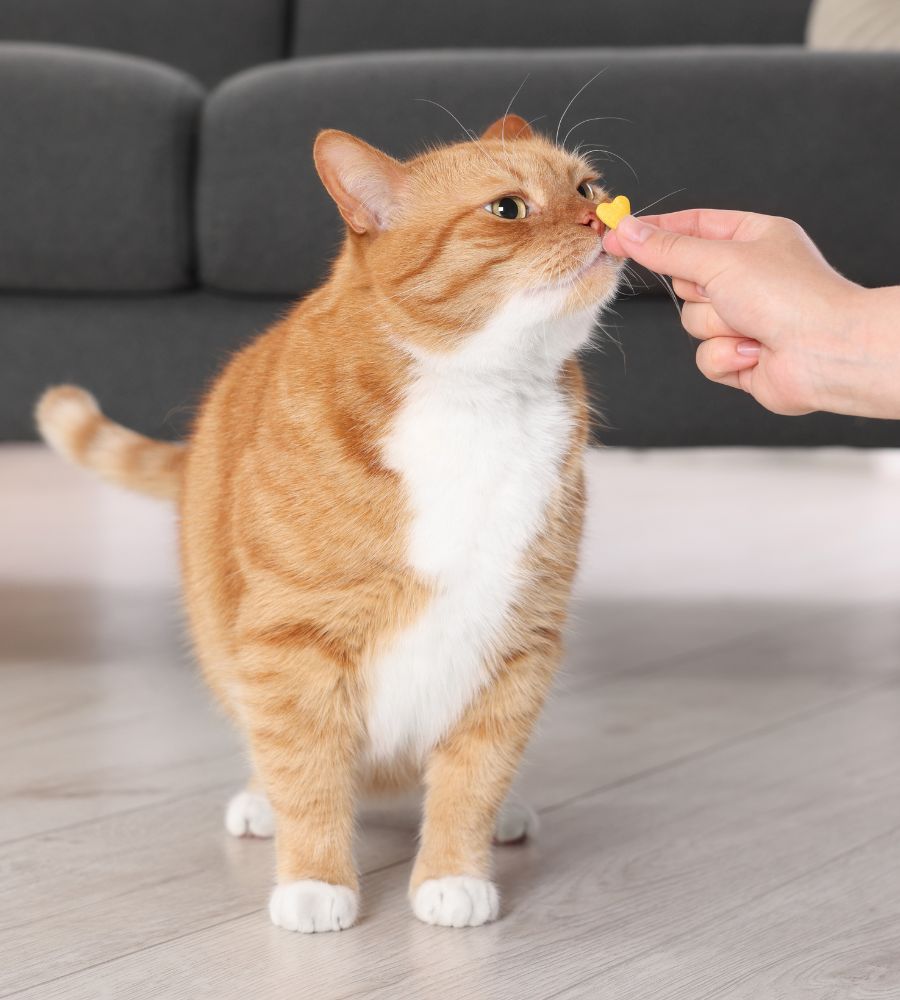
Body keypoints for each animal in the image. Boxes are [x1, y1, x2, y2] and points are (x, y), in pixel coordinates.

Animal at [38, 113, 624, 932]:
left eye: (586, 188)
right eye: (507, 209)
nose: (601, 219)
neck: (476, 399)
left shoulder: (519, 643)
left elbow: (471, 777)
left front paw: (453, 871)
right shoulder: (293, 640)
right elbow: (308, 772)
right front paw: (316, 880)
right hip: (230, 648)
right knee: (268, 745)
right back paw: (263, 805)